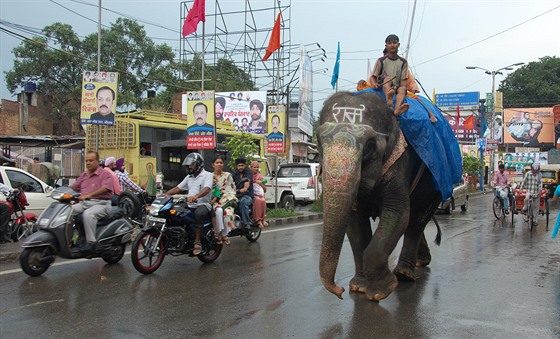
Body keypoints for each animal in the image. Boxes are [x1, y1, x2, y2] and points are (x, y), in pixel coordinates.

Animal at [318, 91, 444, 302]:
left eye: (369, 146)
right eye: (319, 142)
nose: (340, 291)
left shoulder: (400, 162)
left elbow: (398, 213)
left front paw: (381, 291)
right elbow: (355, 223)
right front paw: (359, 287)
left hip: (436, 188)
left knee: (416, 222)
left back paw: (405, 274)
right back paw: (420, 262)